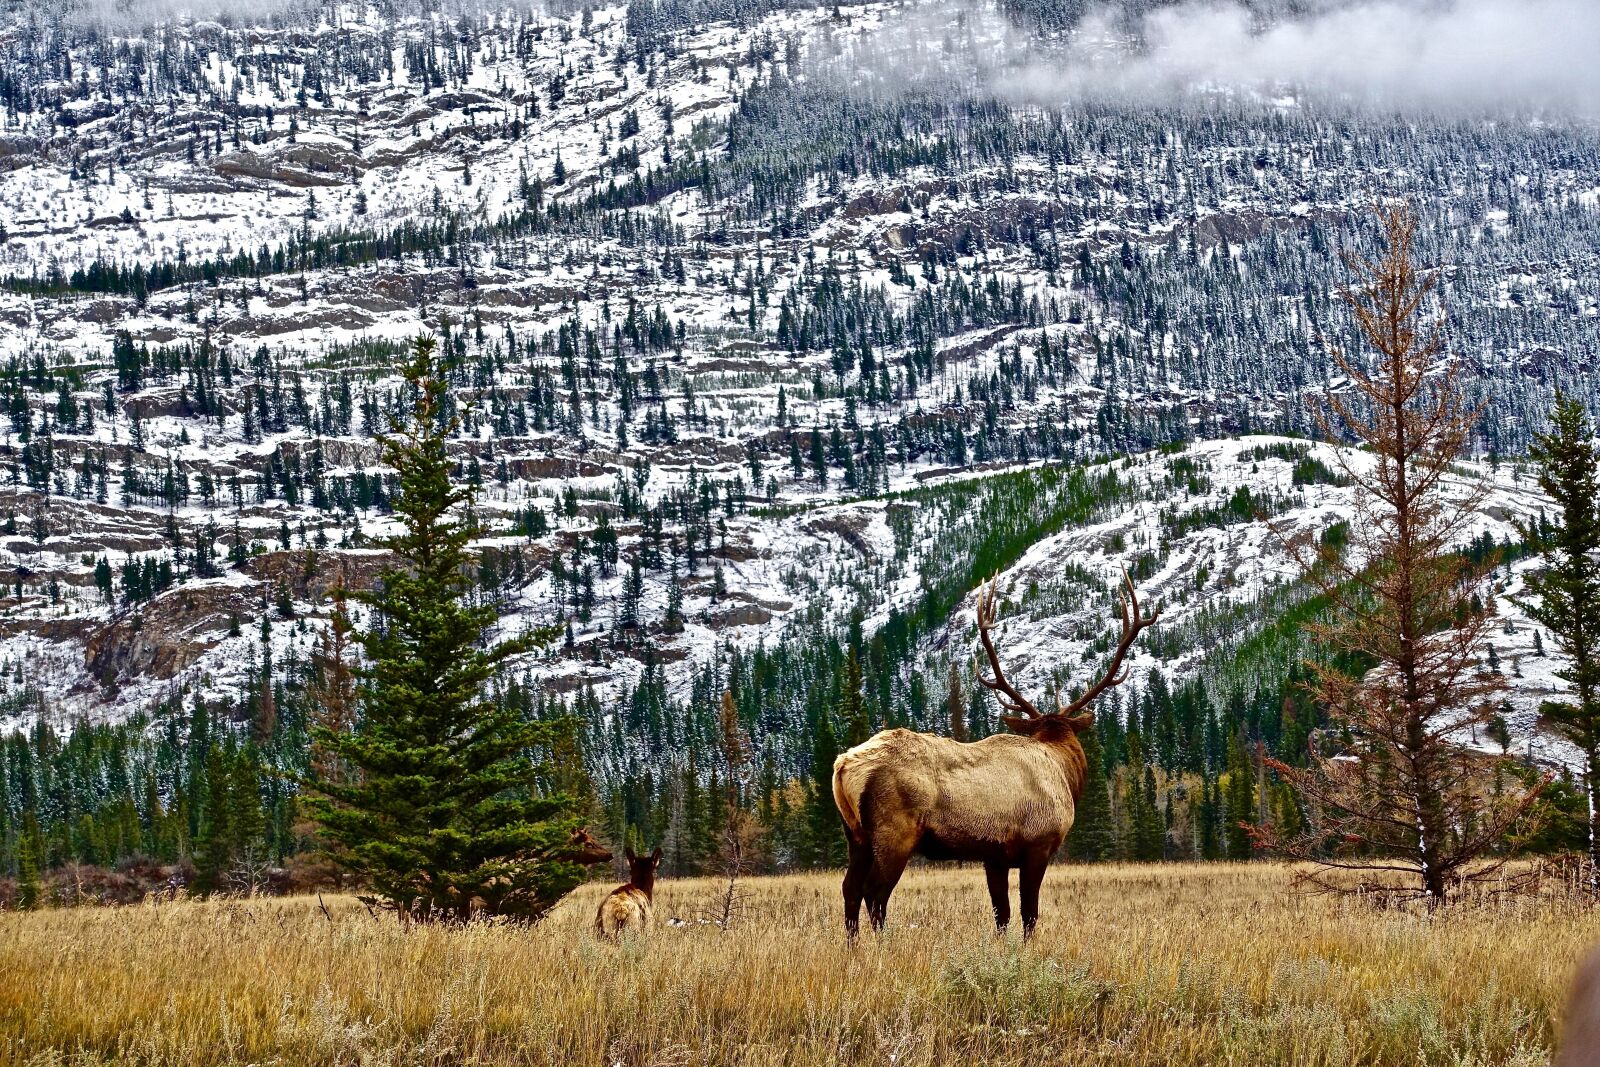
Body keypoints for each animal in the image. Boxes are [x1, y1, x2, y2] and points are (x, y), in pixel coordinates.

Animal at [832, 572, 1156, 940]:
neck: (1063, 772)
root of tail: (843, 766)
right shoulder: (1038, 843)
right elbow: (1029, 912)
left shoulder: (995, 855)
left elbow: (1002, 913)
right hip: (894, 831)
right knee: (874, 892)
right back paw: (885, 946)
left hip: (855, 835)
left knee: (849, 888)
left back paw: (853, 947)